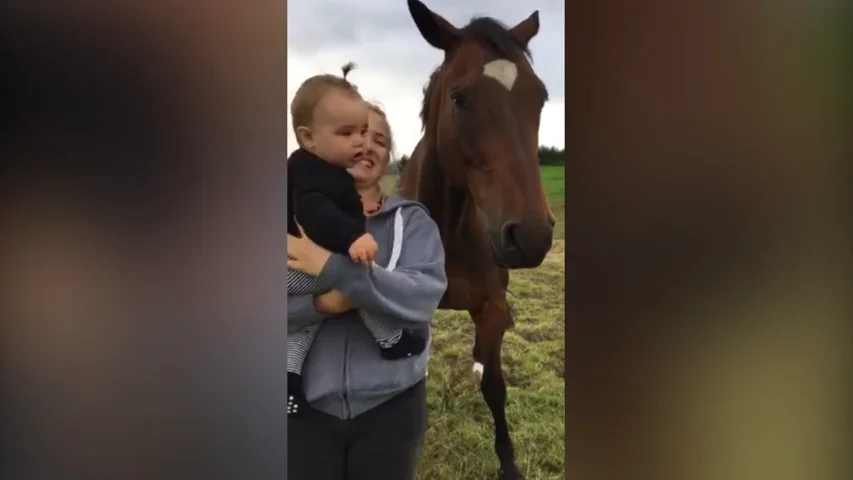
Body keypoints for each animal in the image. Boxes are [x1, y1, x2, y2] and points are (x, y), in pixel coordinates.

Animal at [398, 1, 555, 479]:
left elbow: (495, 387)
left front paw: (508, 463)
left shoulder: (490, 306)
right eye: (459, 98)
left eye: (540, 97)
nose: (532, 235)